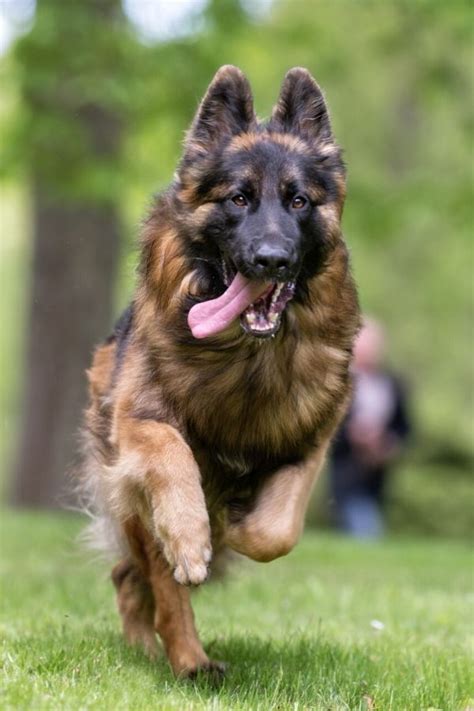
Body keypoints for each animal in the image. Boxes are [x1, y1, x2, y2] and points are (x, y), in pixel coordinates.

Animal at [84, 67, 360, 680]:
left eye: (298, 201)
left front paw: (235, 524)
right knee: (152, 582)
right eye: (238, 198)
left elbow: (277, 530)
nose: (271, 259)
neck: (245, 358)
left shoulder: (311, 439)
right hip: (131, 495)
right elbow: (173, 458)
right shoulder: (137, 422)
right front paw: (192, 536)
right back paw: (185, 658)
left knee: (134, 579)